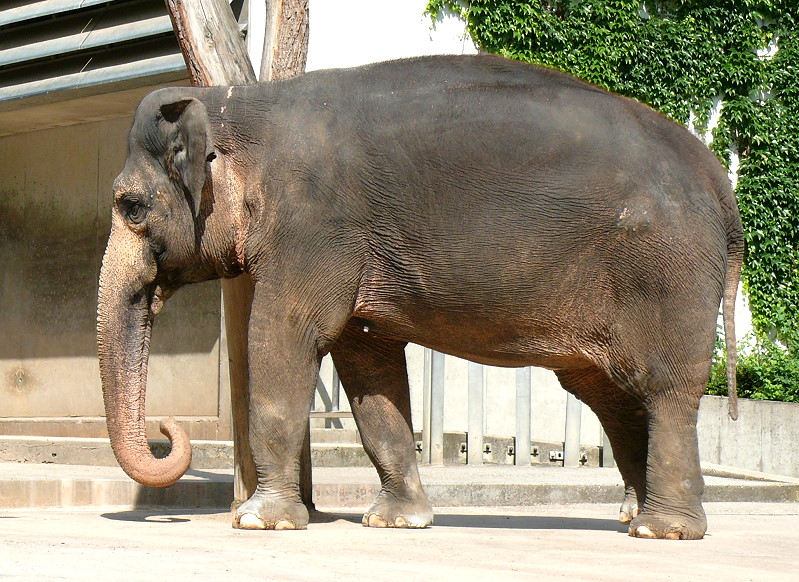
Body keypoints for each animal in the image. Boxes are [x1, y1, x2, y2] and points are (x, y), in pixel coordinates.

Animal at [98, 54, 744, 544]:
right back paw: (633, 515)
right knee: (608, 392)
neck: (240, 103)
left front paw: (262, 522)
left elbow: (284, 337)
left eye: (131, 206)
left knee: (663, 387)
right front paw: (395, 522)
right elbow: (369, 367)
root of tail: (720, 181)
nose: (165, 428)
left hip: (667, 274)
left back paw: (664, 530)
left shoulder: (314, 229)